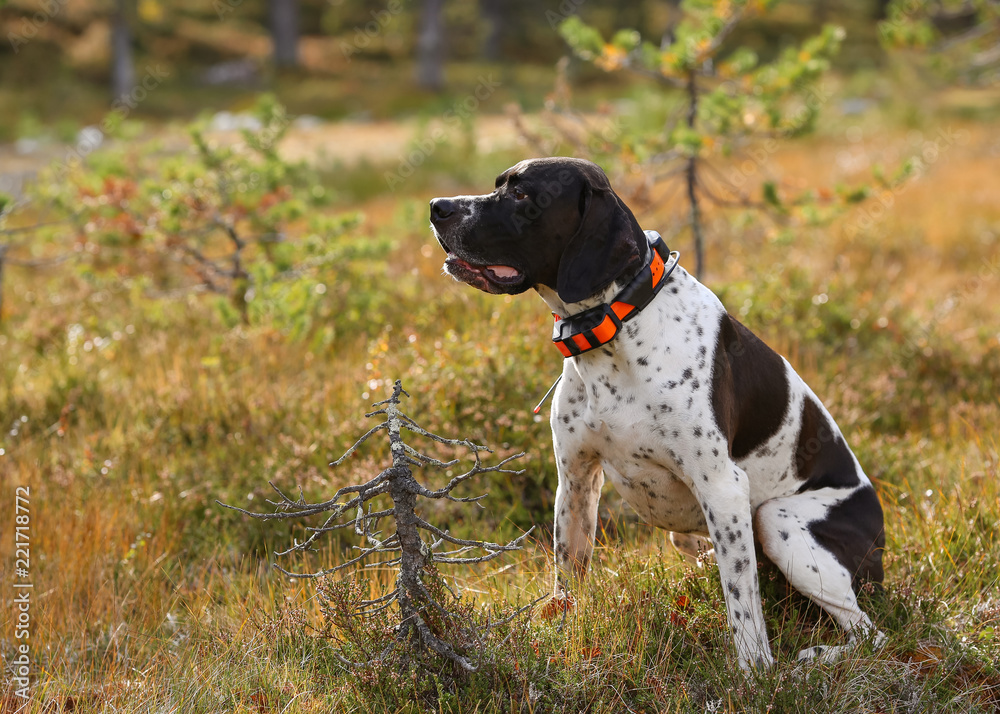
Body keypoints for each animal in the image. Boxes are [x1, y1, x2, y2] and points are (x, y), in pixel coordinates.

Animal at [426, 157, 888, 668]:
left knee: (869, 634)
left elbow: (743, 610)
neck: (616, 327)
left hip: (778, 522)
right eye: (498, 186)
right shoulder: (576, 480)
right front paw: (563, 642)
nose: (437, 207)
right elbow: (567, 582)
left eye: (524, 195)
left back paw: (813, 659)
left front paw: (756, 674)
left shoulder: (723, 488)